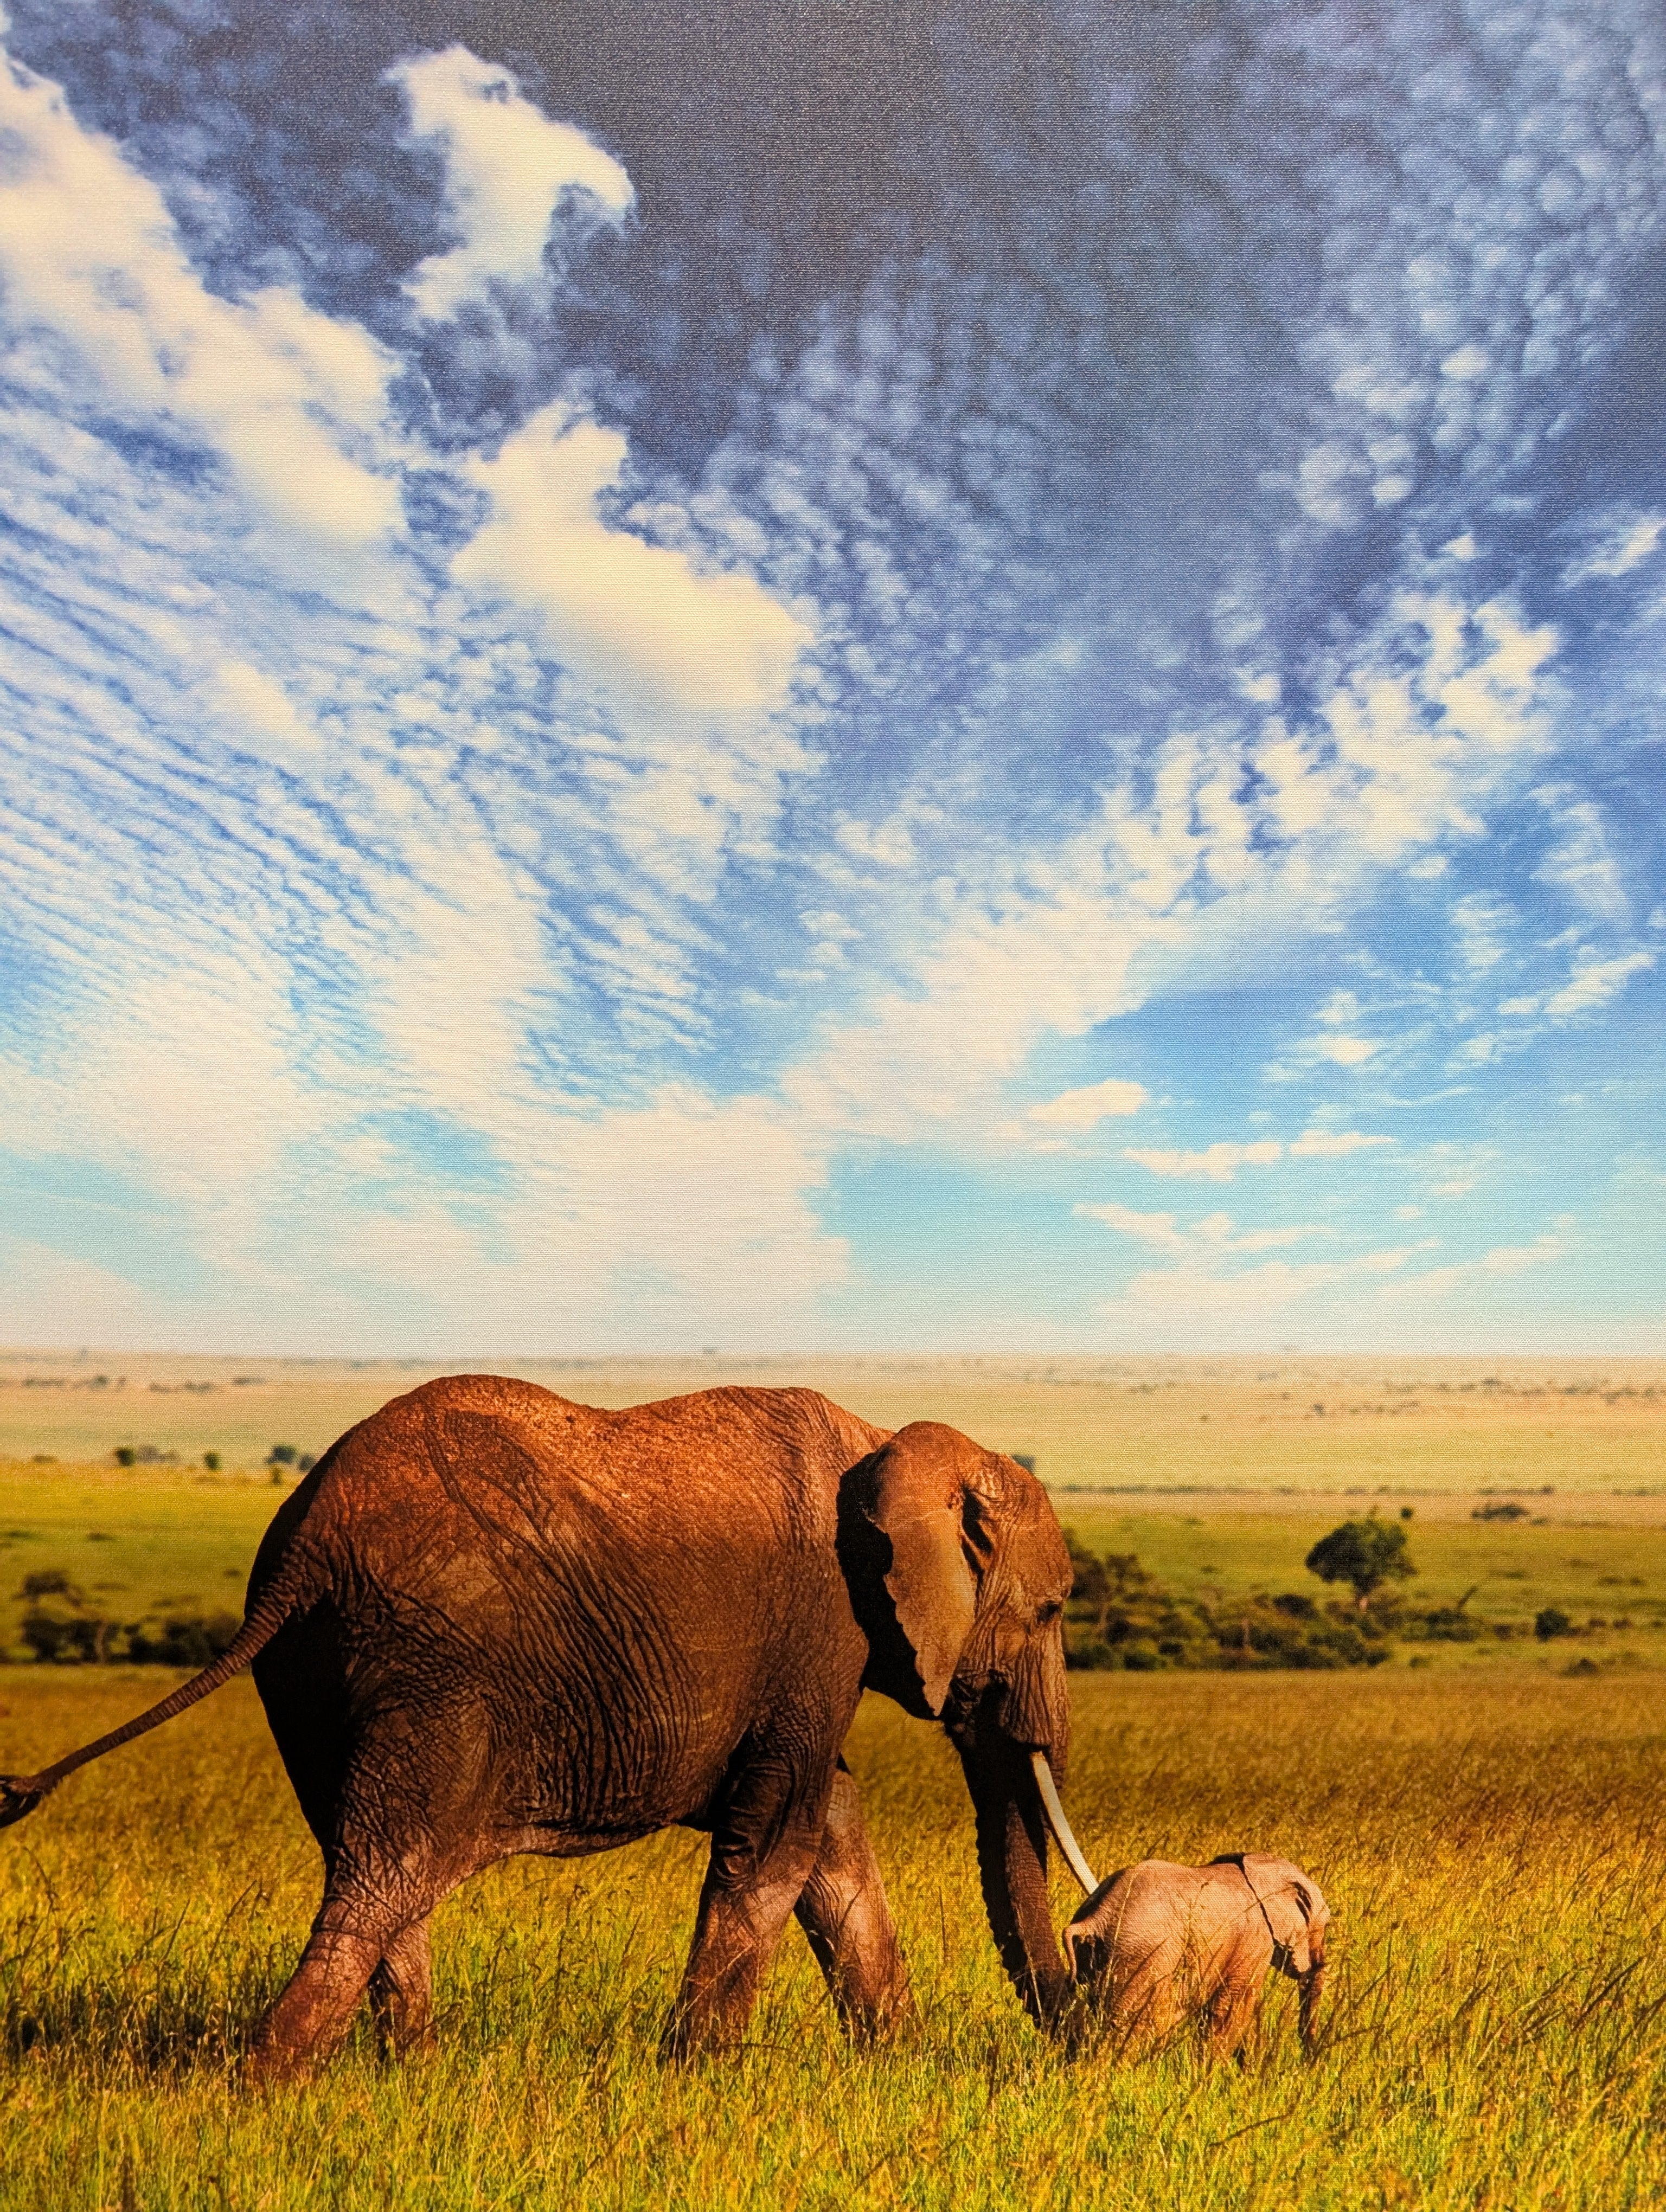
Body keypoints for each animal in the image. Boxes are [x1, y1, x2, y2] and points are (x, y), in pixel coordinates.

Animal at [0, 1376, 1097, 2077]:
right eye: (1050, 1612)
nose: (1085, 2020)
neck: (892, 1443)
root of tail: (298, 1555)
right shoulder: (823, 1623)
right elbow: (778, 1847)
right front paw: (699, 2080)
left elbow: (831, 1832)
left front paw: (892, 2067)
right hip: (433, 1663)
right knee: (386, 1874)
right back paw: (267, 2086)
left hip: (315, 1680)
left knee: (378, 1869)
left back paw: (411, 2077)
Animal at [1064, 1853, 1328, 2058]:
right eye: (1325, 1927)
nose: (1307, 2060)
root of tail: (1096, 1918)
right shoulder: (1254, 1940)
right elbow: (1233, 2007)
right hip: (1144, 1960)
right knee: (1135, 2026)